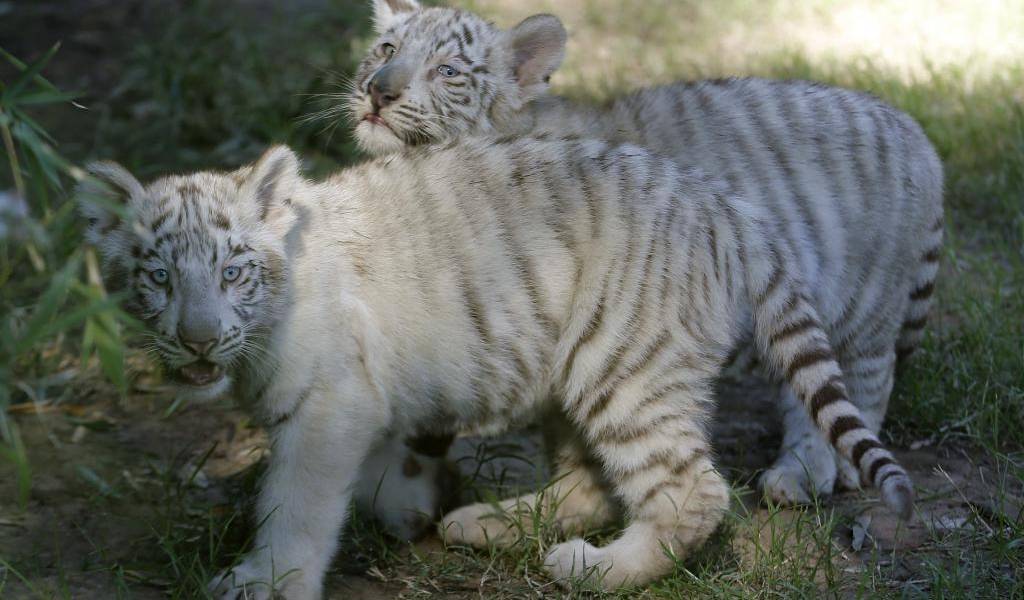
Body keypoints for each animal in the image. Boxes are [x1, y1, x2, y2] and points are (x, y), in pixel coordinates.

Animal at [79, 135, 921, 597]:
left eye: (232, 273)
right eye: (158, 277)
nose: (196, 341)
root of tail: (728, 205)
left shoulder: (328, 406)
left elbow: (295, 503)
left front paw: (266, 583)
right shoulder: (367, 397)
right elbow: (378, 468)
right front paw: (409, 504)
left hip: (625, 365)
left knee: (692, 492)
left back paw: (594, 571)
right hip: (576, 369)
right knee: (592, 484)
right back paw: (488, 524)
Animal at [345, 0, 945, 514]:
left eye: (447, 70)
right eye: (386, 48)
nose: (379, 91)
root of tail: (917, 133)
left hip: (863, 305)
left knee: (865, 383)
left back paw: (815, 472)